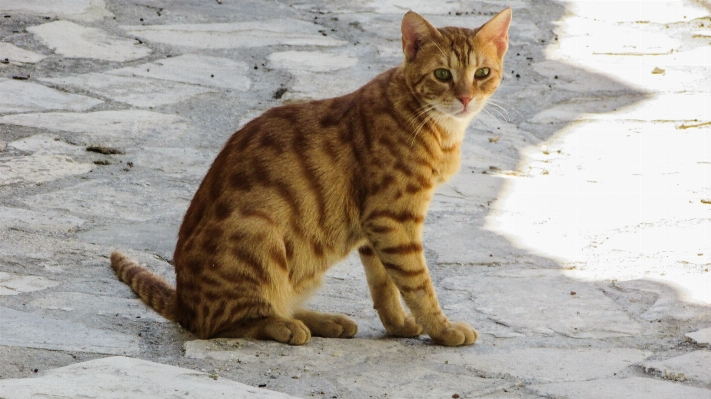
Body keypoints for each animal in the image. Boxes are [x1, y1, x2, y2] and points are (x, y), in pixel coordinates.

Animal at [111, 8, 512, 346]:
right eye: (443, 74)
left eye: (482, 73)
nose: (465, 98)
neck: (432, 123)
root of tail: (183, 301)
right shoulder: (393, 219)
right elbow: (417, 284)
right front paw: (442, 329)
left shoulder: (376, 228)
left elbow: (384, 285)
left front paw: (397, 325)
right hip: (260, 233)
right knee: (226, 322)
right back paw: (287, 326)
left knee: (275, 302)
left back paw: (325, 320)